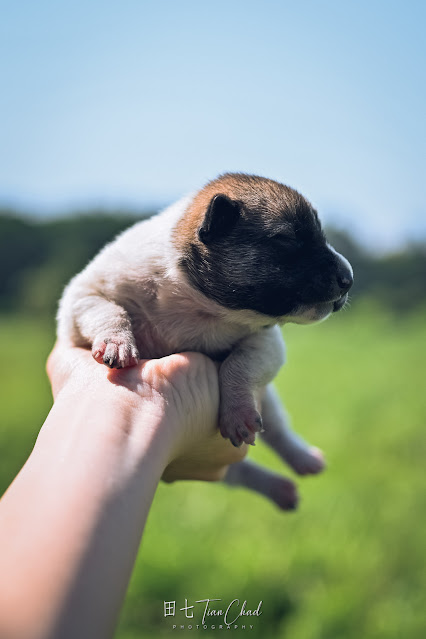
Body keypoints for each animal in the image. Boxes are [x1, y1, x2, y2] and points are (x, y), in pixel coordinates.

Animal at [59, 174, 352, 510]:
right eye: (287, 239)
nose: (349, 278)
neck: (194, 302)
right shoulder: (83, 296)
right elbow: (107, 309)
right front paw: (116, 343)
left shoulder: (266, 342)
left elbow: (239, 365)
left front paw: (238, 412)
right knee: (237, 472)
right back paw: (279, 489)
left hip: (268, 400)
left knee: (278, 430)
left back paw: (303, 461)